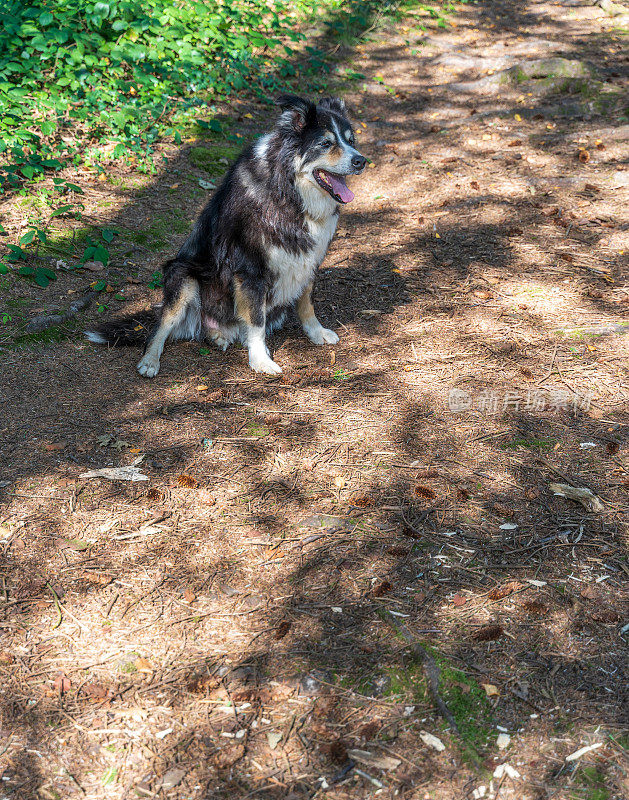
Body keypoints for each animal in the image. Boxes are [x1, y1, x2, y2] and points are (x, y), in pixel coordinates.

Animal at [86, 95, 366, 376]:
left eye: (351, 141)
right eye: (325, 143)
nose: (361, 161)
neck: (288, 193)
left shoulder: (309, 260)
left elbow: (306, 303)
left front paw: (316, 333)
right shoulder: (250, 270)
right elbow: (256, 320)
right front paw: (260, 360)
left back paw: (217, 336)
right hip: (183, 276)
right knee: (160, 326)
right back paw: (150, 360)